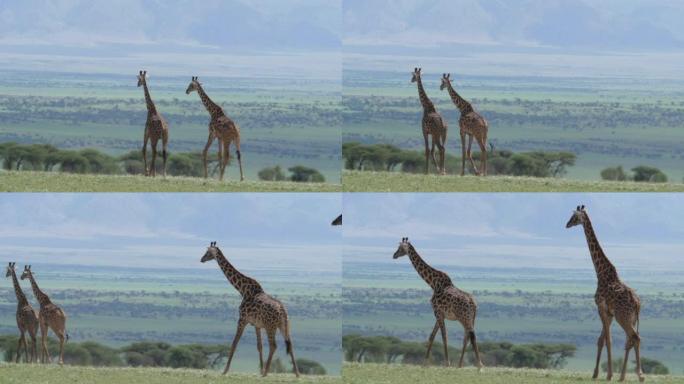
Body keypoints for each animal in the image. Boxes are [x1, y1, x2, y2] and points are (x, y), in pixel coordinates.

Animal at [203, 242, 300, 376]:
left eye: (208, 252)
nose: (202, 259)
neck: (243, 289)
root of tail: (283, 311)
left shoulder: (242, 320)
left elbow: (234, 343)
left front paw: (225, 370)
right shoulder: (257, 325)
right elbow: (259, 346)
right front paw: (260, 369)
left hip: (270, 327)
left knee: (273, 345)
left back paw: (266, 373)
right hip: (284, 326)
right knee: (290, 345)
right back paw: (297, 373)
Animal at [392, 237, 484, 368]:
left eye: (401, 248)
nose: (394, 255)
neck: (433, 283)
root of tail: (473, 304)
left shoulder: (437, 312)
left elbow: (444, 336)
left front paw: (447, 363)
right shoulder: (439, 314)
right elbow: (432, 336)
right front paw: (425, 363)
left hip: (464, 317)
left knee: (471, 336)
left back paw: (479, 365)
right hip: (471, 318)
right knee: (467, 337)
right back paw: (460, 364)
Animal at [564, 206, 644, 382]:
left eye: (575, 216)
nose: (567, 224)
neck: (600, 272)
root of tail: (637, 303)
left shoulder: (600, 307)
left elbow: (607, 340)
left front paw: (608, 374)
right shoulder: (609, 312)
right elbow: (601, 340)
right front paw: (595, 373)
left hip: (624, 317)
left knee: (635, 337)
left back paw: (640, 375)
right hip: (631, 318)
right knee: (630, 340)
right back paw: (623, 376)